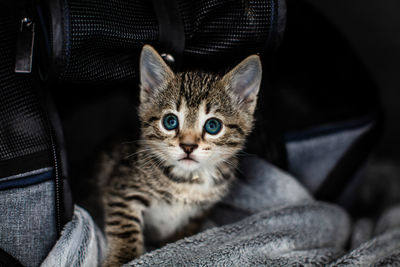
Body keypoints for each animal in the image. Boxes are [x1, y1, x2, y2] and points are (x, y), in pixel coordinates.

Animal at [100, 45, 262, 266]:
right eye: (170, 121)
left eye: (213, 126)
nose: (188, 146)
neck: (188, 181)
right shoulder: (122, 188)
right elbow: (125, 229)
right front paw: (122, 260)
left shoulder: (200, 211)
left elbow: (184, 234)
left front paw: (173, 247)